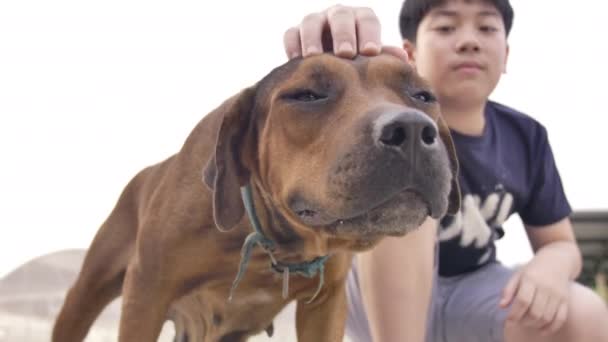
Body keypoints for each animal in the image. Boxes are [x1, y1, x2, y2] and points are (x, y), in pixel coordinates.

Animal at [52, 53, 460, 342]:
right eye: (307, 95)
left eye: (423, 95)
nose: (412, 130)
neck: (273, 242)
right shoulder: (147, 291)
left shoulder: (326, 304)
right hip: (86, 294)